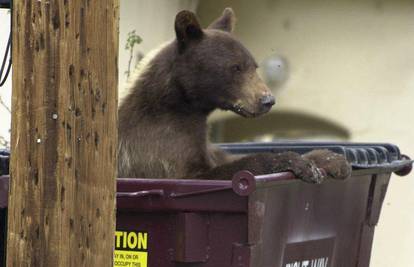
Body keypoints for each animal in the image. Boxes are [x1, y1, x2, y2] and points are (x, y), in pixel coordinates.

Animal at [118, 8, 350, 184]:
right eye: (235, 67)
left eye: (254, 66)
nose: (267, 100)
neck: (181, 105)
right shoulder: (157, 149)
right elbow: (212, 171)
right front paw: (297, 163)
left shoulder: (202, 143)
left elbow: (225, 157)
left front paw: (330, 158)